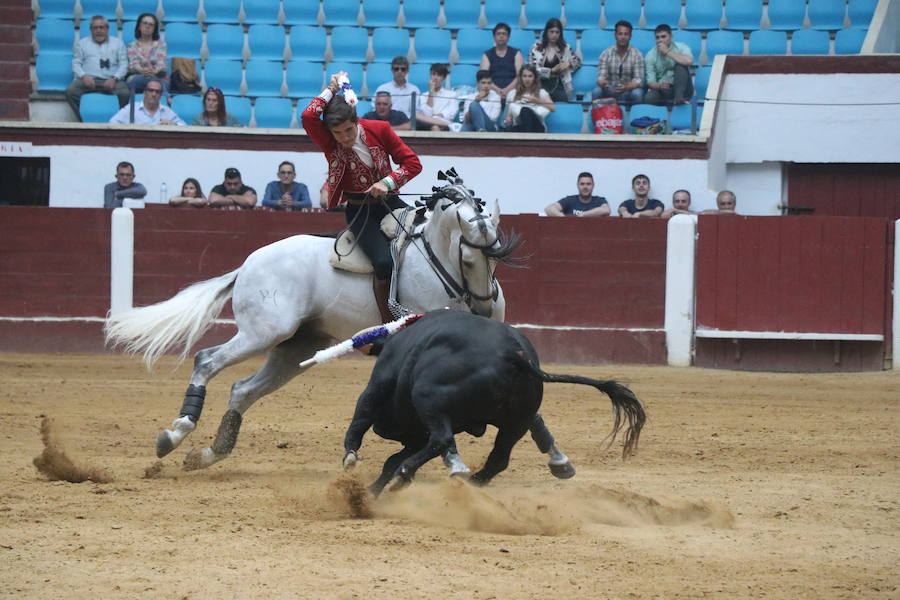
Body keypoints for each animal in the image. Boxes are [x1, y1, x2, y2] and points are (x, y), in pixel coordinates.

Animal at [103, 171, 568, 476]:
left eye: (496, 256)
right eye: (468, 256)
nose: (485, 308)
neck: (437, 259)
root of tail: (250, 261)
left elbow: (533, 406)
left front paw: (558, 459)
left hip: (297, 347)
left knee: (242, 388)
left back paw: (210, 452)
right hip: (263, 333)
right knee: (207, 361)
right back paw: (175, 434)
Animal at [342, 312, 644, 494]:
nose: (384, 429)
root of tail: (513, 353)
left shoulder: (381, 385)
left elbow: (361, 419)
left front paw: (352, 461)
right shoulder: (418, 433)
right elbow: (392, 458)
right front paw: (372, 490)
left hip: (428, 398)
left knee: (441, 439)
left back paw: (408, 475)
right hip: (517, 420)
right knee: (498, 458)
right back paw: (473, 482)